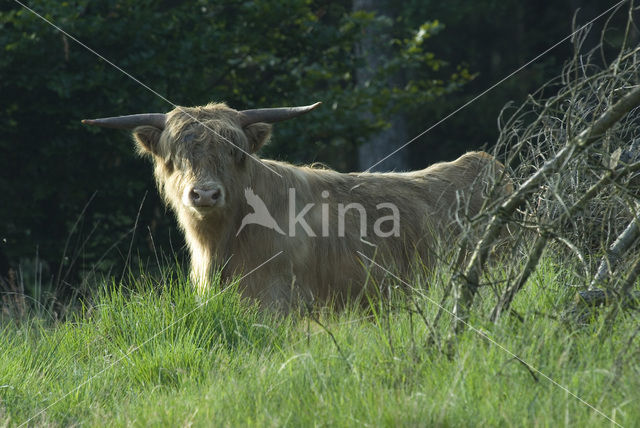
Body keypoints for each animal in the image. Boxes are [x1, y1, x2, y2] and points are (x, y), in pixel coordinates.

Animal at [82, 103, 510, 310]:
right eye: (175, 156)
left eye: (235, 151)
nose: (203, 195)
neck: (220, 242)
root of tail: (489, 166)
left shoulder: (277, 301)